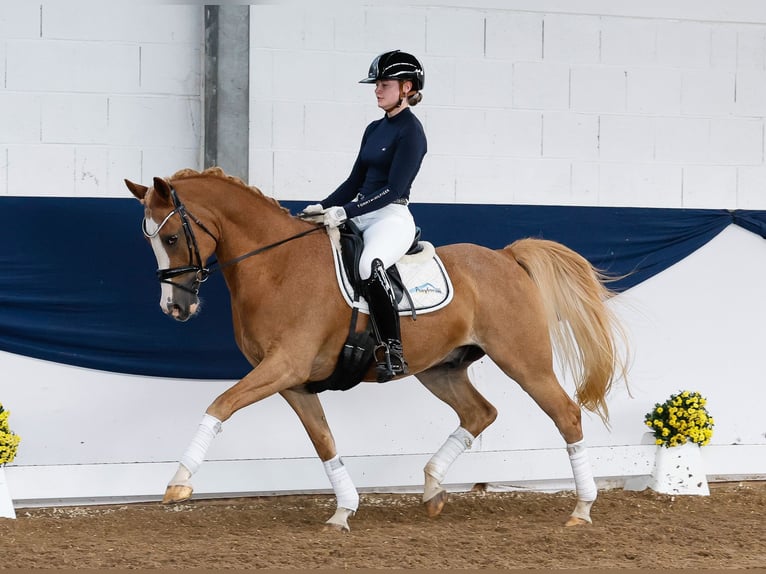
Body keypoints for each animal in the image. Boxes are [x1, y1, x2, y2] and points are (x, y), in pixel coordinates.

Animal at [127, 166, 632, 532]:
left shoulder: (284, 366)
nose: (176, 307)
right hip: (440, 368)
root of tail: (506, 257)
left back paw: (581, 509)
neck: (276, 265)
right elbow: (323, 441)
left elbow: (219, 404)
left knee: (565, 414)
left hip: (525, 361)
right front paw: (343, 511)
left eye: (171, 238)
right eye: (150, 241)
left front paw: (178, 483)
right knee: (479, 413)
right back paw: (432, 489)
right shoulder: (293, 381)